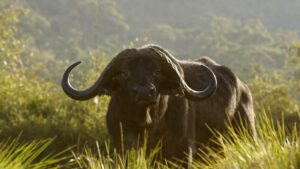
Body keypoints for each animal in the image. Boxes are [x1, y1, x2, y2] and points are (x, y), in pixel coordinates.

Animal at [61, 44, 255, 162]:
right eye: (125, 73)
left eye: (156, 72)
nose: (144, 92)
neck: (145, 125)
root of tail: (243, 88)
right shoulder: (122, 148)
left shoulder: (183, 153)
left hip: (246, 134)